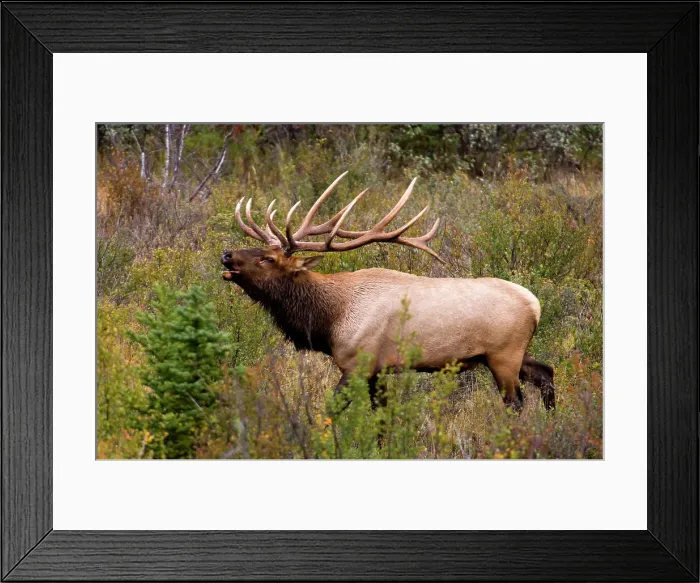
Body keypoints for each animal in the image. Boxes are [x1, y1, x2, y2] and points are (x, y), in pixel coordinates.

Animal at [221, 172, 555, 414]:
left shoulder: (359, 363)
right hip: (509, 353)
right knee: (546, 372)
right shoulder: (379, 372)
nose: (226, 255)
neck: (330, 320)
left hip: (504, 354)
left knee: (516, 402)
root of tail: (535, 304)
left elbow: (330, 411)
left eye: (268, 258)